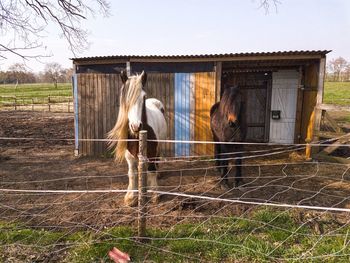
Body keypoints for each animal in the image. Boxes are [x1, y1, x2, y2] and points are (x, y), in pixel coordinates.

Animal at [108, 71, 167, 207]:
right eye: (124, 97)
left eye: (143, 97)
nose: (135, 126)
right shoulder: (129, 156)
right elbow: (132, 174)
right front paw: (131, 196)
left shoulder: (151, 152)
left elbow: (151, 170)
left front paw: (155, 194)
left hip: (159, 146)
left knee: (156, 161)